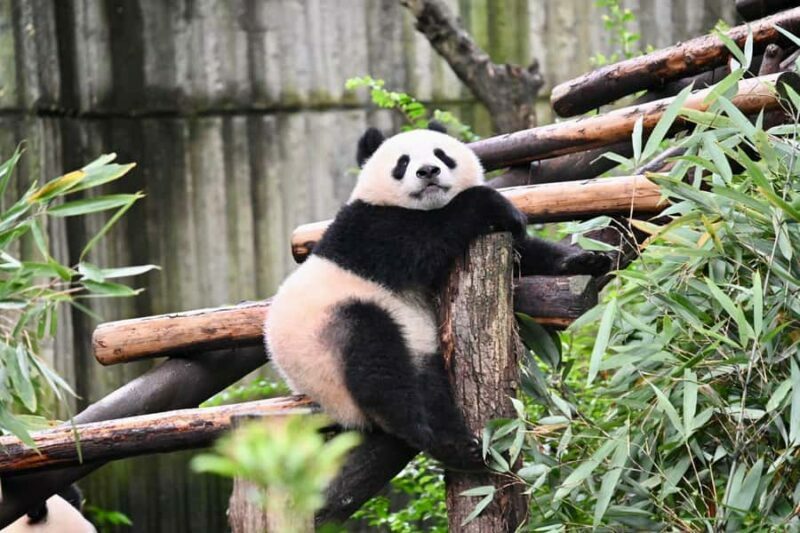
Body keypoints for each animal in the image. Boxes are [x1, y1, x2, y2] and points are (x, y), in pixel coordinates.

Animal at [265, 123, 609, 469]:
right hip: (328, 338)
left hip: (417, 351)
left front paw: (586, 260)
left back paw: (461, 444)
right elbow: (425, 240)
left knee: (427, 386)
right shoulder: (369, 229)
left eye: (441, 154)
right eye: (402, 162)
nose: (428, 171)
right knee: (377, 368)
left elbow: (524, 256)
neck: (423, 206)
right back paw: (443, 442)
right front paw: (503, 208)